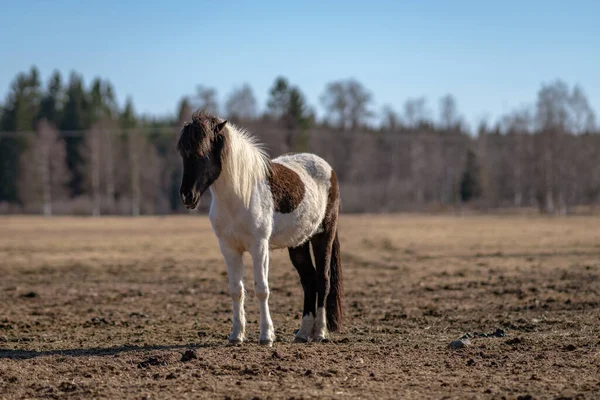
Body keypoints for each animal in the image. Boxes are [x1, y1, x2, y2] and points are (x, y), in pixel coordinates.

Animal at [178, 110, 344, 346]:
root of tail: (328, 168)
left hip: (323, 236)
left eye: (202, 153)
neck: (240, 196)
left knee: (323, 280)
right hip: (298, 244)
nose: (187, 196)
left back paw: (320, 332)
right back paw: (303, 333)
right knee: (309, 281)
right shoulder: (229, 249)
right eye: (183, 153)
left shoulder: (259, 247)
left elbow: (261, 289)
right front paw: (236, 335)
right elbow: (236, 290)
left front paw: (266, 336)